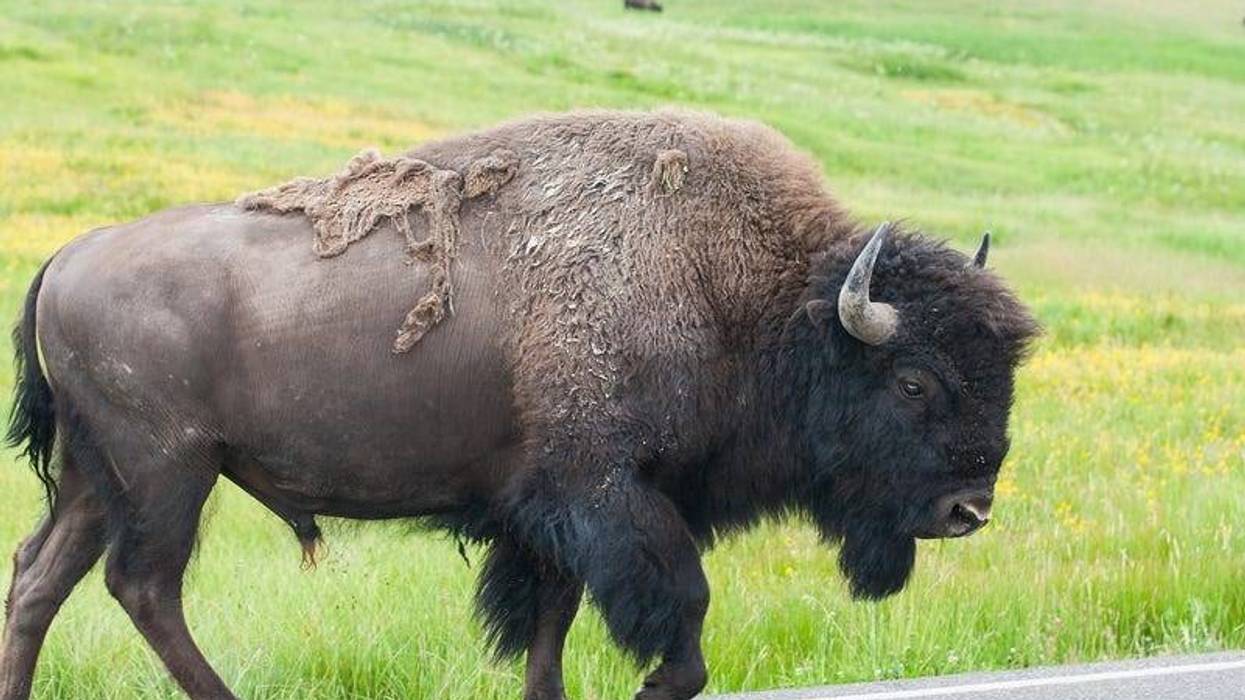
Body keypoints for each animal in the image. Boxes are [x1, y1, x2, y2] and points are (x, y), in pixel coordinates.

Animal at [0, 110, 1037, 700]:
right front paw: (658, 684)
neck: (744, 293)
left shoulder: (547, 520)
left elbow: (549, 629)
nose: (968, 510)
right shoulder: (606, 497)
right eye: (913, 381)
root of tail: (66, 256)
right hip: (168, 475)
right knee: (143, 586)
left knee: (39, 579)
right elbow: (679, 613)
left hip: (96, 481)